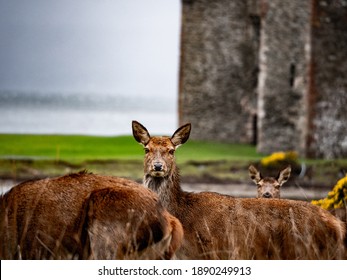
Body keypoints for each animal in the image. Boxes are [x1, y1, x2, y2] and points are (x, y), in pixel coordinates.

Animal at [132, 120, 346, 260]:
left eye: (171, 150)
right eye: (146, 149)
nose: (158, 166)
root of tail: (338, 225)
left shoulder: (210, 253)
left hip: (310, 252)